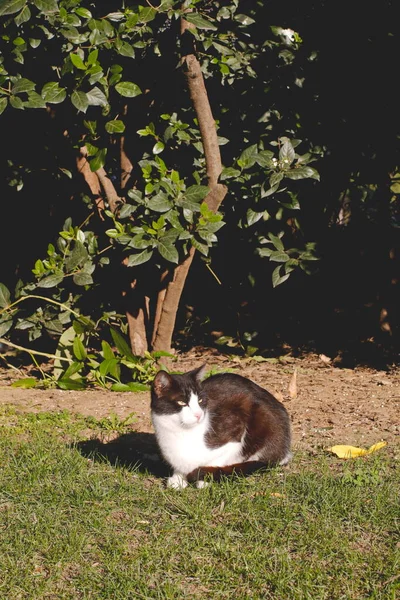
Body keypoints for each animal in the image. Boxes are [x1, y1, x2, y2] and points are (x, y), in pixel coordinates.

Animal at [150, 366, 290, 488]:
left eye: (200, 400)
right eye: (182, 402)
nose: (199, 414)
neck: (182, 433)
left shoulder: (235, 432)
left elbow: (218, 458)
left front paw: (204, 479)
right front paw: (178, 478)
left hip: (264, 418)